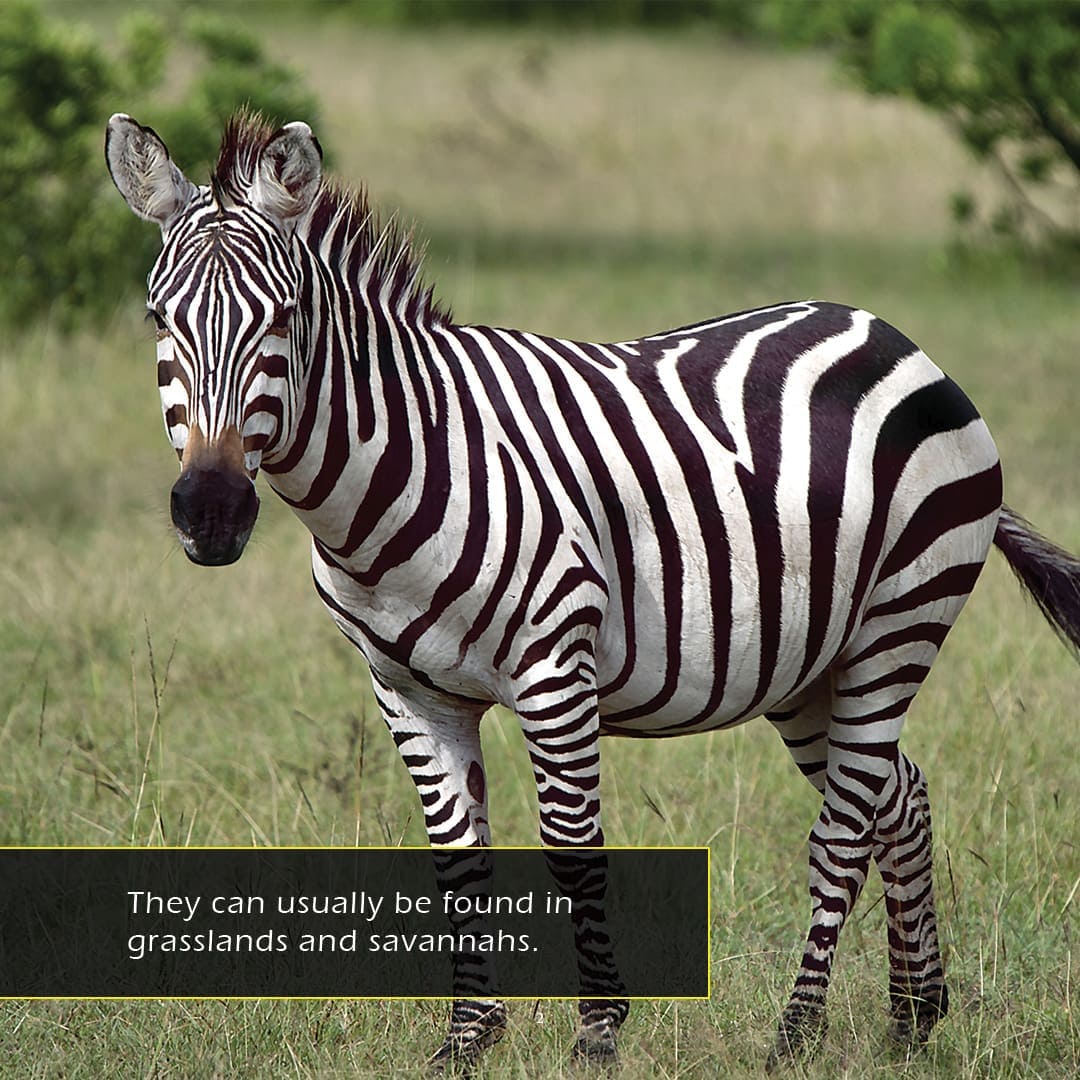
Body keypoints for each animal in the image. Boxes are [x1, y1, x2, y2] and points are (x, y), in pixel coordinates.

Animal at [106, 111, 1080, 1069]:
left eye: (283, 317)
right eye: (158, 317)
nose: (212, 511)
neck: (404, 465)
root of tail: (892, 336)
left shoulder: (553, 669)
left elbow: (574, 852)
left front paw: (599, 1031)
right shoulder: (408, 691)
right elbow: (458, 859)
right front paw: (467, 1038)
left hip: (898, 624)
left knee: (843, 830)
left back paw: (798, 1032)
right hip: (809, 662)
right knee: (896, 796)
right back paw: (914, 1017)